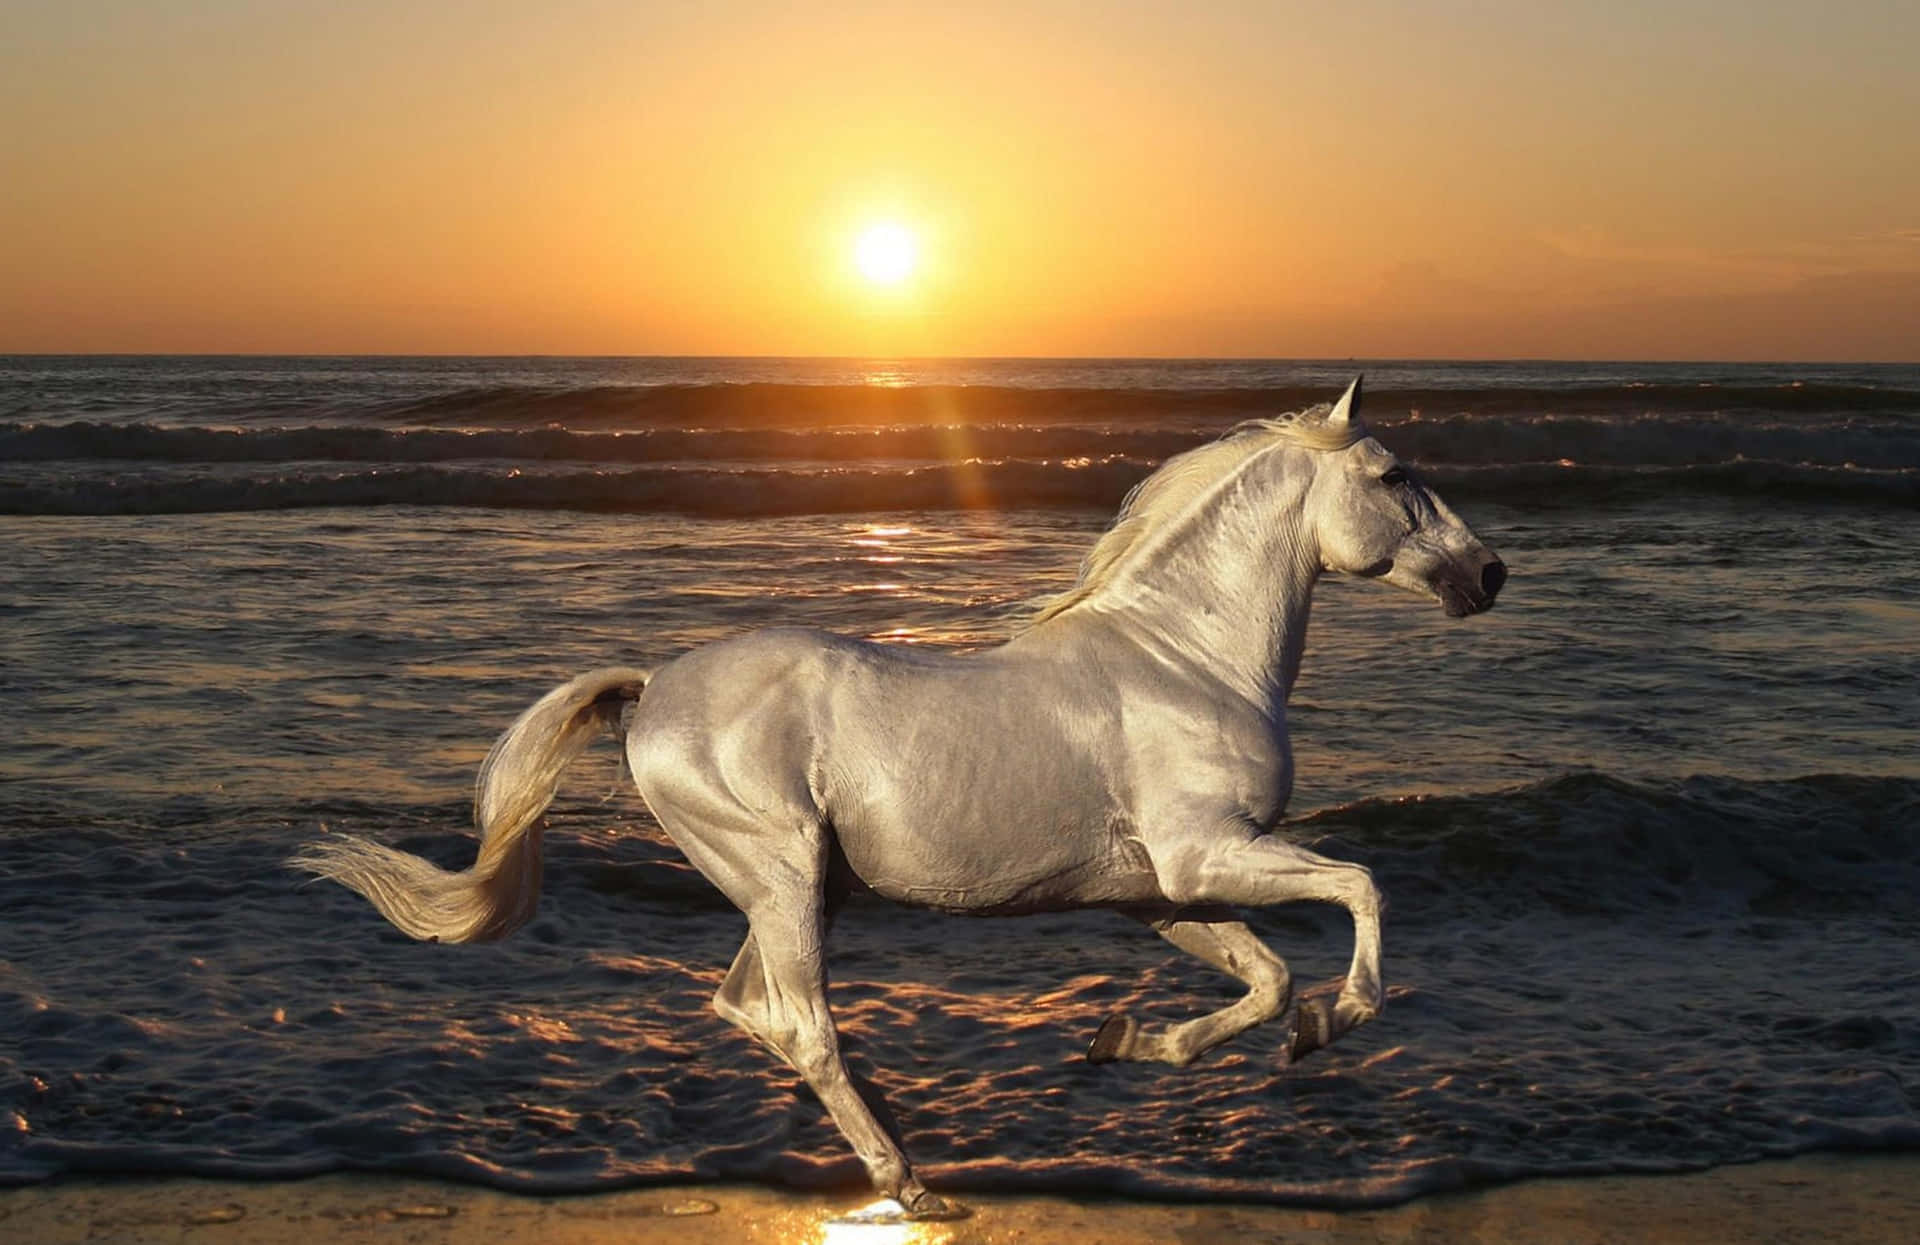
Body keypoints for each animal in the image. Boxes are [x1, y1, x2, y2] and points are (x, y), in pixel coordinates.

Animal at [294, 378, 1505, 1219]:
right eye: (1395, 476)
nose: (1488, 575)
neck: (1184, 659)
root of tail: (653, 689)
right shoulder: (1207, 855)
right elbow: (1360, 890)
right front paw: (1334, 1022)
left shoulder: (1160, 892)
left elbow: (1262, 983)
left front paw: (1128, 1042)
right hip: (782, 875)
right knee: (800, 1022)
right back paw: (910, 1177)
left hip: (797, 890)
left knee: (753, 1010)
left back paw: (903, 1144)